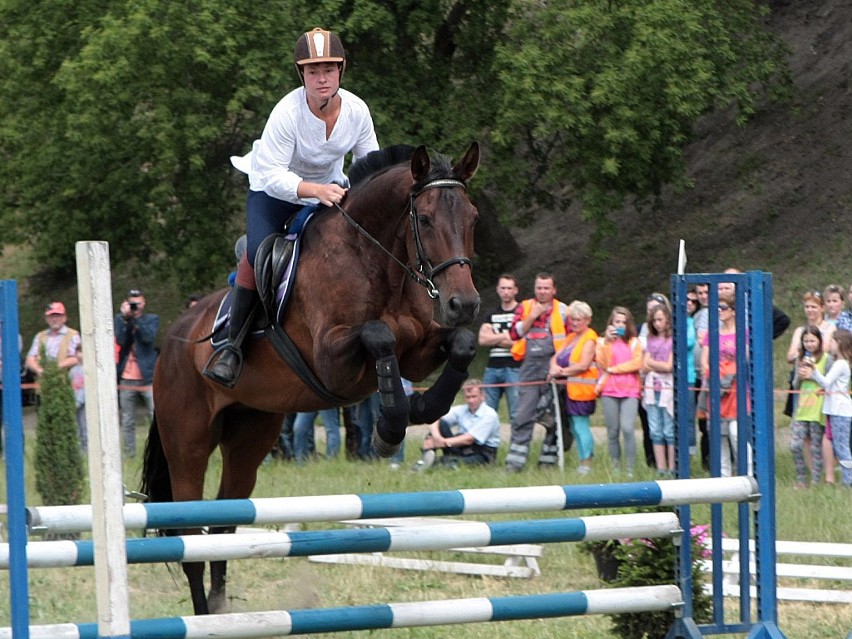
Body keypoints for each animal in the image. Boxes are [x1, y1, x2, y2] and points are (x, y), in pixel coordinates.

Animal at [143, 141, 482, 616]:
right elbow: (379, 336)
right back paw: (206, 617)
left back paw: (223, 610)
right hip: (187, 443)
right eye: (427, 219)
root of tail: (172, 341)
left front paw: (417, 408)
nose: (462, 303)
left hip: (249, 437)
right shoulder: (331, 358)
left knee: (224, 527)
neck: (375, 259)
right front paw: (389, 429)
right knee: (191, 539)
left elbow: (461, 344)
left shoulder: (419, 352)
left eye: (473, 217)